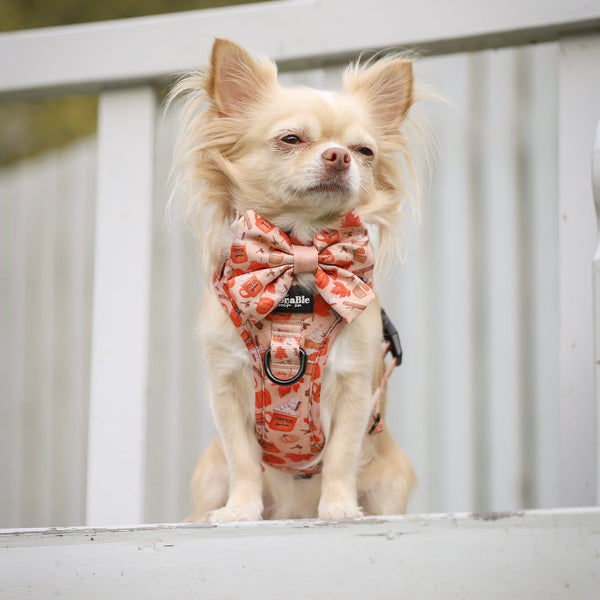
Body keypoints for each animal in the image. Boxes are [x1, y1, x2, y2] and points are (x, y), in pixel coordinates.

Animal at [171, 37, 420, 520]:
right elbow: (243, 457)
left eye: (365, 151)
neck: (300, 258)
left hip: (389, 482)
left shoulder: (355, 389)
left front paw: (339, 508)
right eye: (290, 139)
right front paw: (241, 511)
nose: (339, 155)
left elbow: (341, 454)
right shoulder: (226, 388)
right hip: (209, 474)